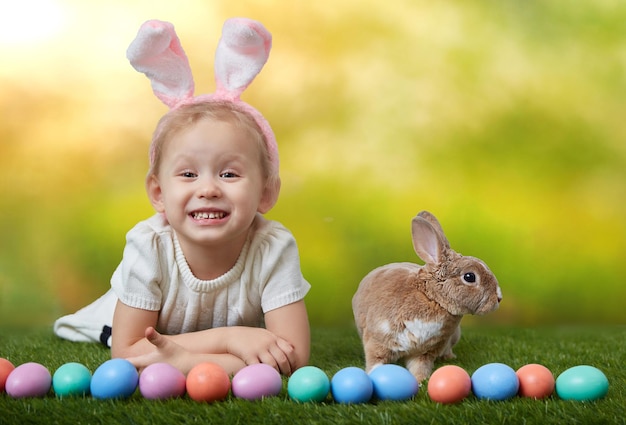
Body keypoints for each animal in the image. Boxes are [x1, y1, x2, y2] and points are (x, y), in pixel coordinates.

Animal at [352, 210, 502, 380]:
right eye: (469, 277)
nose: (498, 298)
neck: (431, 298)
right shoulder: (377, 340)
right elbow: (375, 361)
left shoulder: (425, 352)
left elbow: (420, 368)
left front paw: (420, 381)